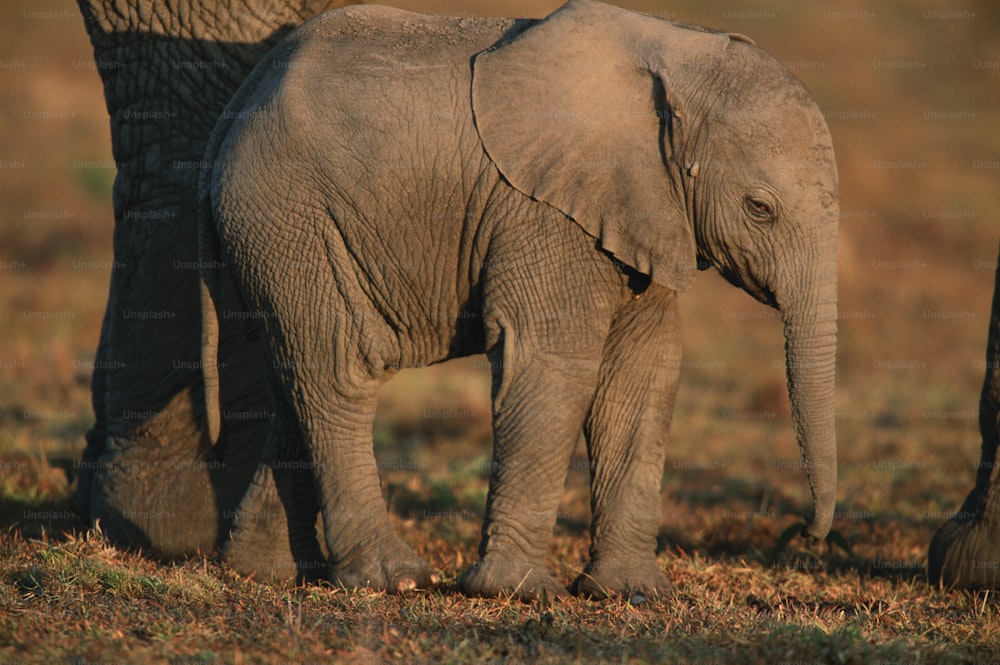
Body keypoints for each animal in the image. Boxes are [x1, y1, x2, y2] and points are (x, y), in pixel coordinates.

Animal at [199, 0, 840, 600]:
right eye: (760, 208)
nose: (805, 537)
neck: (679, 54)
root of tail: (233, 112)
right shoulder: (545, 211)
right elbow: (554, 363)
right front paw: (519, 592)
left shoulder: (645, 210)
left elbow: (643, 371)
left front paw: (632, 592)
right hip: (288, 216)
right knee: (340, 370)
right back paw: (394, 579)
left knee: (293, 377)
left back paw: (265, 571)